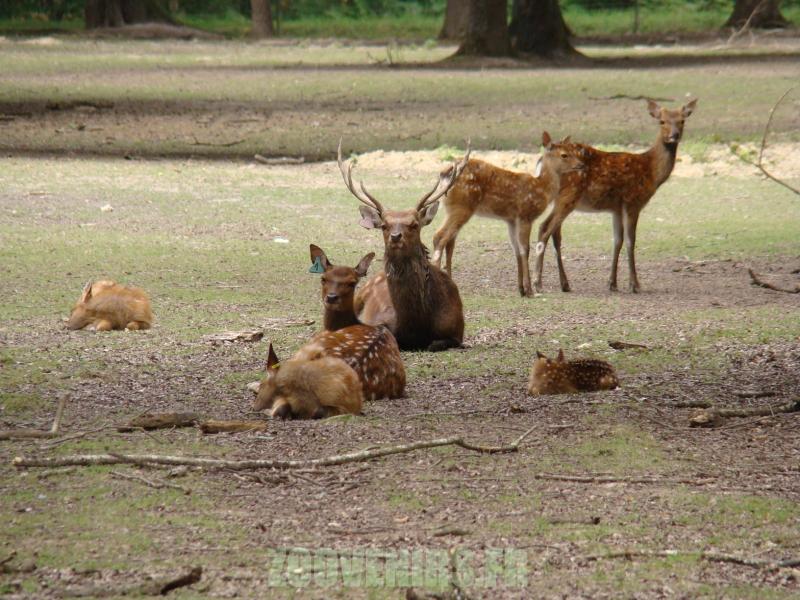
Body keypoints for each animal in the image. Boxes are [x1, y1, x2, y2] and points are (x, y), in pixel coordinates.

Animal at [337, 139, 470, 352]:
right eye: (384, 225)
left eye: (414, 224)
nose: (395, 236)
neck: (415, 325)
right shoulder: (378, 320)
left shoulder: (457, 329)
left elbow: (436, 343)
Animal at [430, 132, 587, 297]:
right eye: (564, 155)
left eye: (572, 150)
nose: (581, 164)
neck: (541, 188)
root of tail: (444, 174)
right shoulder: (525, 214)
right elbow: (525, 249)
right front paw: (529, 290)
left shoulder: (511, 219)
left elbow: (516, 250)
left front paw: (521, 289)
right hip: (462, 206)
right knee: (439, 236)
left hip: (452, 208)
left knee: (448, 240)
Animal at [533, 98, 697, 294]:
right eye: (662, 121)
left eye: (682, 120)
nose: (674, 135)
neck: (651, 171)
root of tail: (541, 163)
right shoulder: (633, 201)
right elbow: (630, 241)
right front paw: (635, 285)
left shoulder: (616, 208)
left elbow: (617, 241)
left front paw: (612, 283)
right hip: (569, 195)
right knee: (545, 228)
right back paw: (537, 283)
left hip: (560, 199)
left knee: (555, 234)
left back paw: (564, 284)